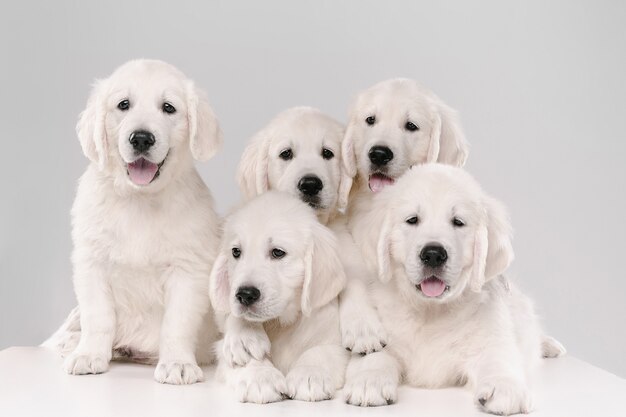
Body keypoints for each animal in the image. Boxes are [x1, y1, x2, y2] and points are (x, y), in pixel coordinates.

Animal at [42, 58, 222, 384]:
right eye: (123, 104)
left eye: (168, 108)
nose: (140, 138)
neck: (140, 199)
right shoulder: (91, 262)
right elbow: (97, 316)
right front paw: (89, 354)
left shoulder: (187, 270)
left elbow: (176, 324)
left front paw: (177, 363)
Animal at [208, 190, 346, 402]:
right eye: (236, 252)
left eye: (278, 253)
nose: (245, 295)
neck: (281, 323)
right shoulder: (222, 351)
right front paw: (260, 377)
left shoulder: (333, 342)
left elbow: (319, 351)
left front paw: (309, 375)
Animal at [344, 162, 544, 412]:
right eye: (412, 220)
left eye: (458, 222)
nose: (433, 254)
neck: (430, 312)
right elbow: (376, 353)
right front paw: (369, 381)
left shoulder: (491, 334)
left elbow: (498, 357)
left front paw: (504, 387)